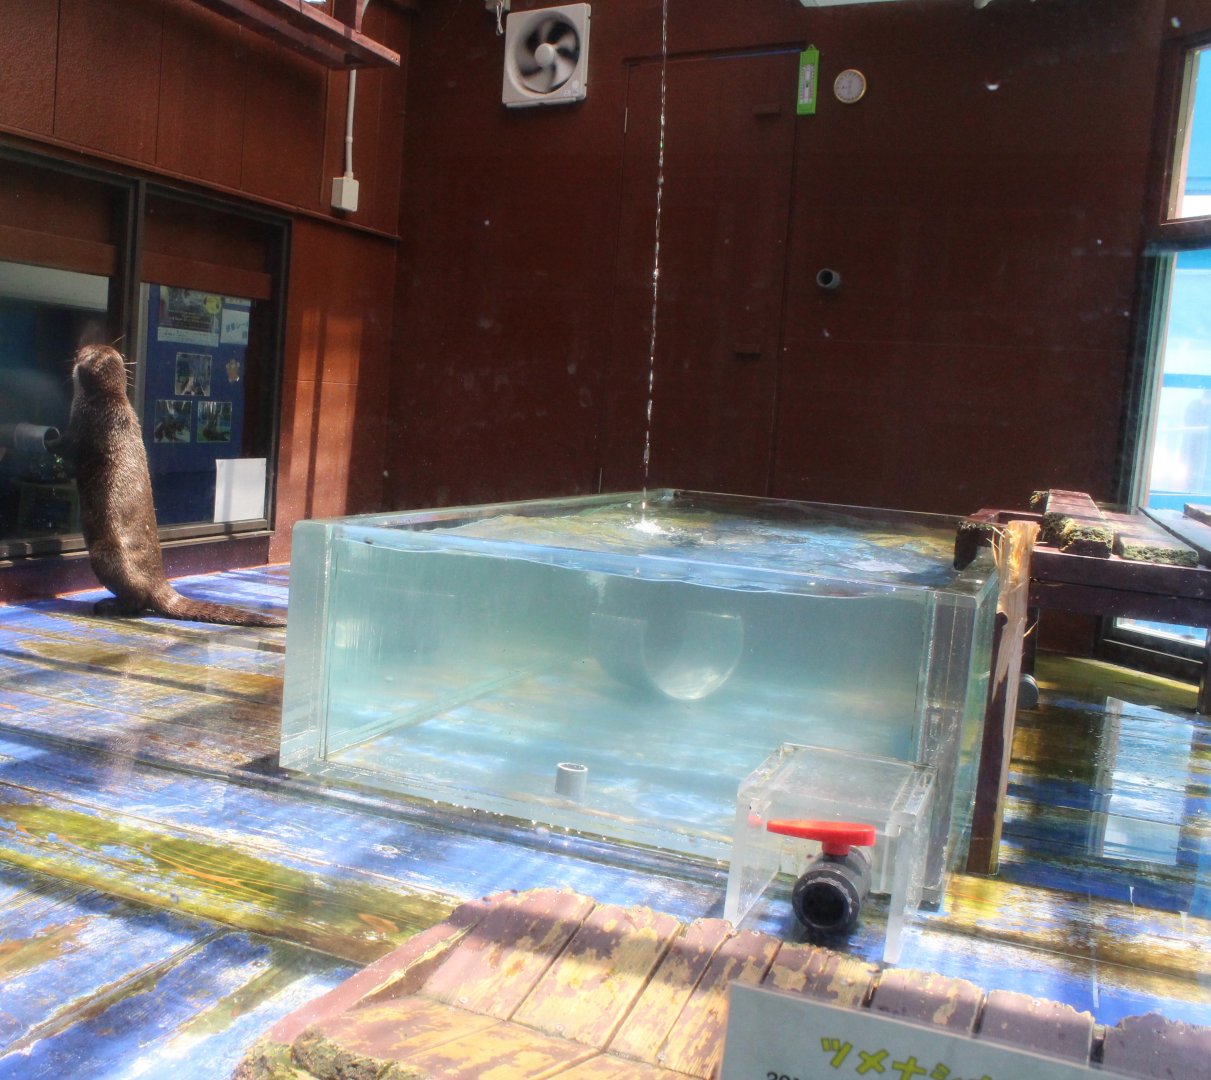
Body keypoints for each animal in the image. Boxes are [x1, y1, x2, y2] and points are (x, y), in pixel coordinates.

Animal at [66, 345, 285, 628]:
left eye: (84, 351)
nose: (78, 349)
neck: (109, 405)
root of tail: (159, 581)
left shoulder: (83, 426)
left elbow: (68, 452)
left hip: (105, 557)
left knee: (138, 600)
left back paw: (107, 605)